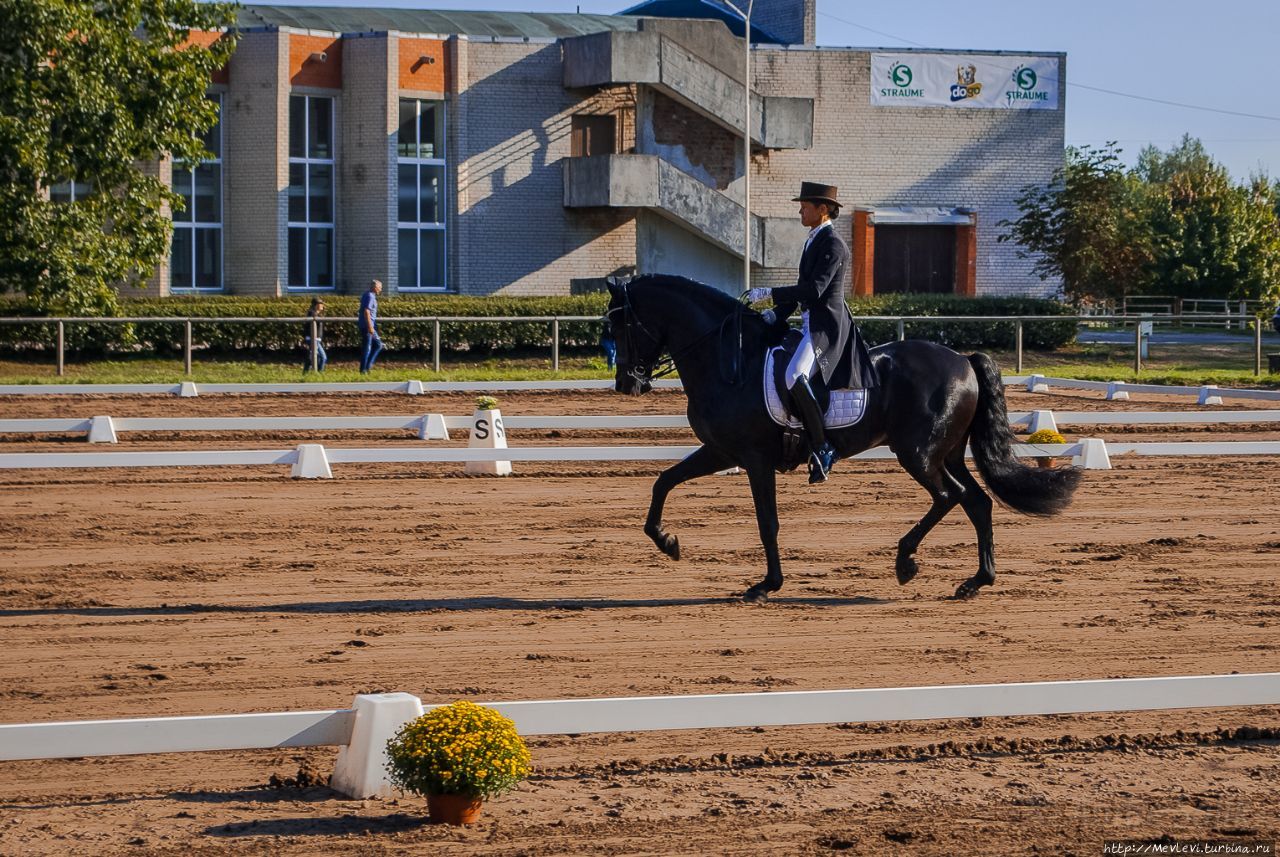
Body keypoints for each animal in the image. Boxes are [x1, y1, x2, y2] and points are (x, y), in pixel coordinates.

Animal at [606, 275, 1080, 603]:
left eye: (620, 322)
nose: (627, 385)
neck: (729, 360)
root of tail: (963, 359)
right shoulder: (722, 451)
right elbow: (664, 481)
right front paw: (667, 542)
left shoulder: (755, 458)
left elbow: (767, 522)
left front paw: (766, 585)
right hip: (945, 453)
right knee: (977, 502)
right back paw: (975, 582)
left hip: (917, 453)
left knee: (950, 497)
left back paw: (906, 562)